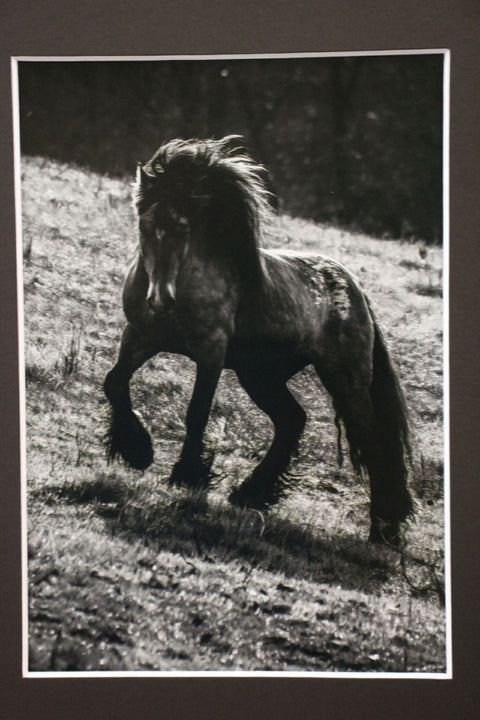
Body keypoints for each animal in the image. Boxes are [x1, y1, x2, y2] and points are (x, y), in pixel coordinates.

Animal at [104, 135, 413, 546]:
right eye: (145, 223)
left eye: (184, 227)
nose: (160, 300)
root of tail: (354, 288)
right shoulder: (139, 337)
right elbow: (114, 383)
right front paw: (136, 450)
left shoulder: (211, 352)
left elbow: (197, 411)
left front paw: (186, 475)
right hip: (260, 375)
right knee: (292, 420)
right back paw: (251, 494)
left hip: (345, 379)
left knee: (374, 441)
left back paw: (383, 530)